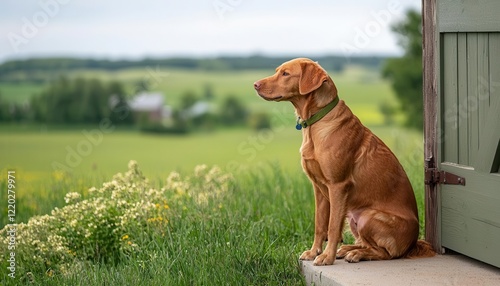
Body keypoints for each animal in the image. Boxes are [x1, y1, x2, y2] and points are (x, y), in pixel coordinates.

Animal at [254, 57, 434, 266]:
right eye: (277, 71)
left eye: (285, 73)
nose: (255, 84)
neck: (317, 122)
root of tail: (414, 243)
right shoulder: (319, 189)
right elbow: (320, 224)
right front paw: (314, 252)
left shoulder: (338, 186)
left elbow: (332, 227)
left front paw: (326, 257)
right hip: (353, 217)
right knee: (367, 244)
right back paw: (349, 249)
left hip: (368, 217)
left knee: (385, 253)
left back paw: (355, 254)